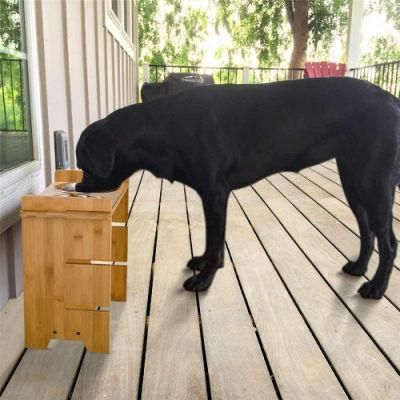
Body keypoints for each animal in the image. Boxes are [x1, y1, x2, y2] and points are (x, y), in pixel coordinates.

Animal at [75, 77, 400, 296]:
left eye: (85, 163)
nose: (78, 188)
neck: (166, 127)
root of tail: (390, 98)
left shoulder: (216, 194)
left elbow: (216, 241)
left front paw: (205, 278)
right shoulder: (211, 196)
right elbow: (212, 240)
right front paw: (204, 262)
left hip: (374, 183)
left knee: (389, 242)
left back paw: (376, 287)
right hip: (353, 181)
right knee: (367, 231)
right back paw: (359, 267)